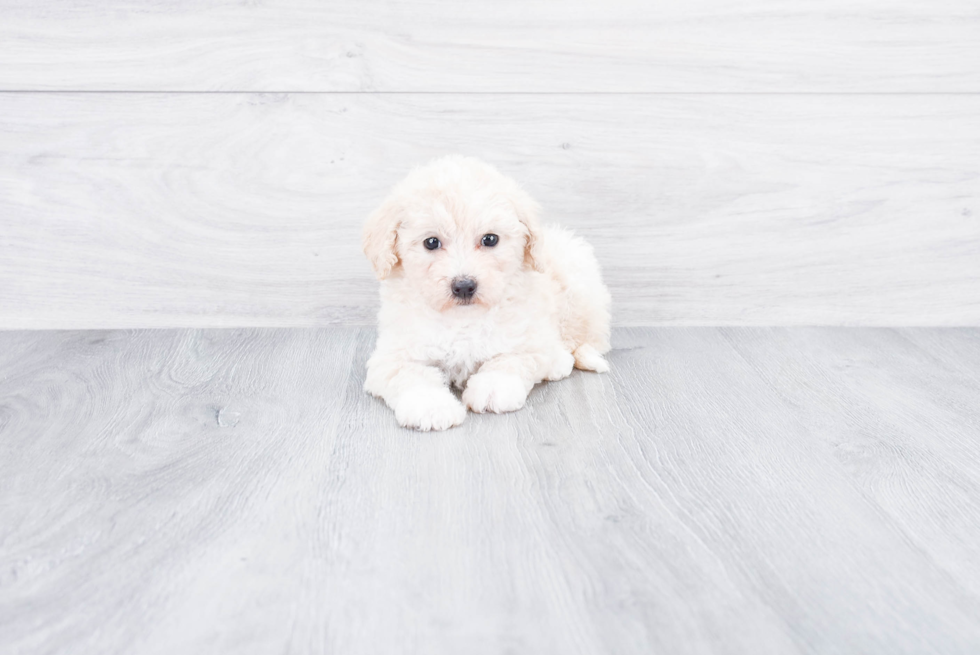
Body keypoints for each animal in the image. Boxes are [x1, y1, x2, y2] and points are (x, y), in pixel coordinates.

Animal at [364, 156, 608, 434]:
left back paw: (560, 361)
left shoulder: (526, 338)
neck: (462, 318)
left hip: (577, 288)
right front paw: (432, 407)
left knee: (579, 343)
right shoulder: (393, 354)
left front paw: (493, 388)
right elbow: (411, 376)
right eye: (431, 242)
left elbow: (509, 360)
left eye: (490, 239)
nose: (464, 286)